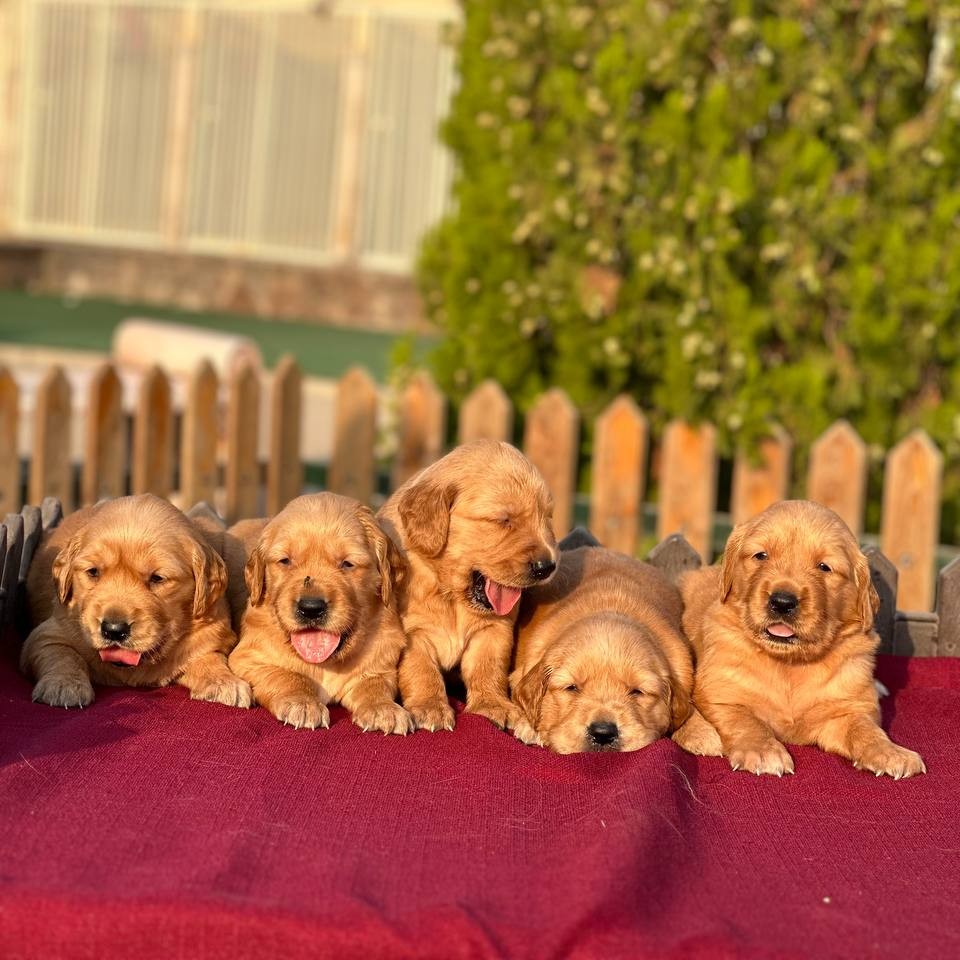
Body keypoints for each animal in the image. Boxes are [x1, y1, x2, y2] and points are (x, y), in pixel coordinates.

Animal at [22, 494, 250, 709]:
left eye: (157, 578)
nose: (114, 630)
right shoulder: (48, 634)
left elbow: (209, 657)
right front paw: (64, 685)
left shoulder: (211, 634)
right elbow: (63, 655)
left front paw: (224, 682)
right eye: (93, 572)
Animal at [225, 493, 412, 734]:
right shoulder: (249, 658)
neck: (325, 663)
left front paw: (383, 708)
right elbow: (288, 675)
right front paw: (303, 703)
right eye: (285, 561)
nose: (311, 608)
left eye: (347, 563)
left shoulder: (381, 665)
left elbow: (374, 685)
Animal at [378, 440, 558, 731]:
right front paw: (430, 706)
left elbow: (488, 668)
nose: (547, 567)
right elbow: (421, 670)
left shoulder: (493, 631)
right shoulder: (412, 634)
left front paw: (493, 705)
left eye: (547, 518)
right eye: (503, 520)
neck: (451, 596)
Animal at [674, 500, 925, 779]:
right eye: (761, 555)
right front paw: (764, 752)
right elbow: (744, 719)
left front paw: (890, 752)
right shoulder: (721, 692)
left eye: (824, 567)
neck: (789, 664)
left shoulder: (844, 710)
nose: (782, 602)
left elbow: (865, 728)